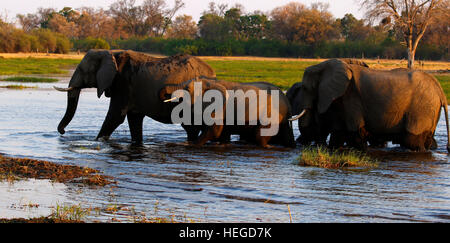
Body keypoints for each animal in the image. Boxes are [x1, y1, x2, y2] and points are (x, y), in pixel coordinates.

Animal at [54, 50, 216, 143]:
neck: (112, 54)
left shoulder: (123, 82)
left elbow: (115, 116)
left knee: (191, 127)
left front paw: (96, 141)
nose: (63, 132)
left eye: (82, 70)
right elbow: (134, 119)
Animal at [288, 58, 450, 152]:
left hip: (421, 109)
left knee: (412, 140)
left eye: (305, 88)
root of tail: (440, 90)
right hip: (430, 110)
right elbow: (340, 131)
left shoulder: (350, 96)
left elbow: (355, 130)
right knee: (428, 140)